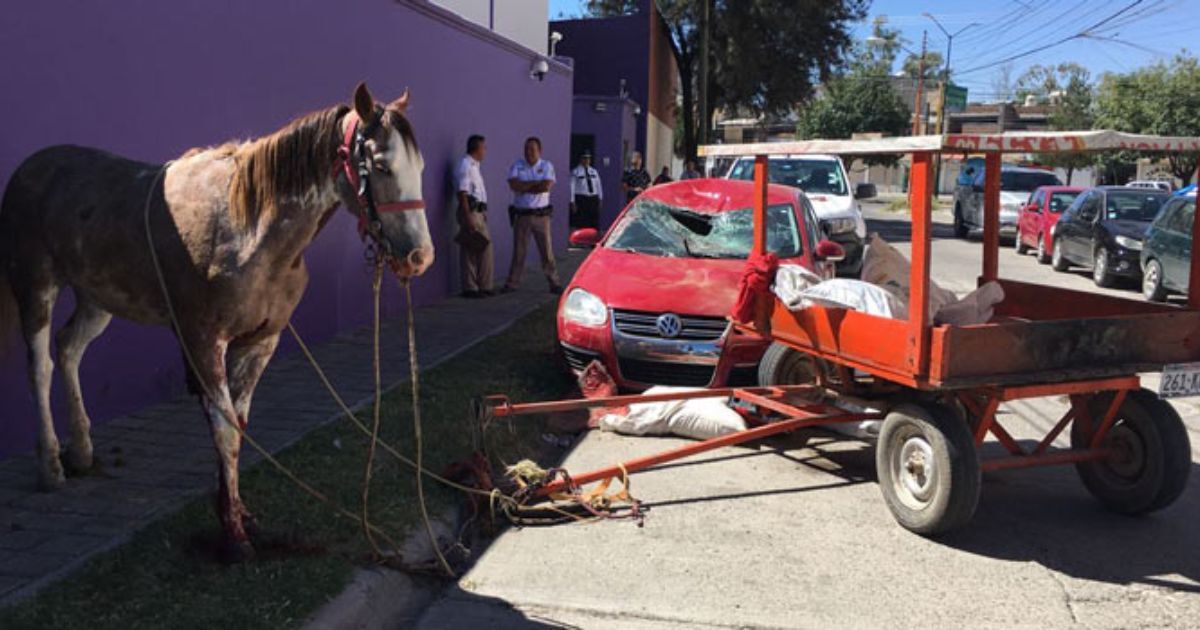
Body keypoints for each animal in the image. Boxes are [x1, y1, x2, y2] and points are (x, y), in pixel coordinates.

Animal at [0, 82, 432, 554]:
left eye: (420, 165)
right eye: (380, 165)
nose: (420, 256)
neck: (247, 230)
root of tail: (30, 167)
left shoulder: (260, 341)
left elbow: (238, 428)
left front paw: (238, 513)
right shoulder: (203, 339)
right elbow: (224, 428)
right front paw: (234, 537)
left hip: (98, 297)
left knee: (69, 349)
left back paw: (80, 450)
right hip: (36, 285)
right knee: (41, 365)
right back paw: (50, 464)